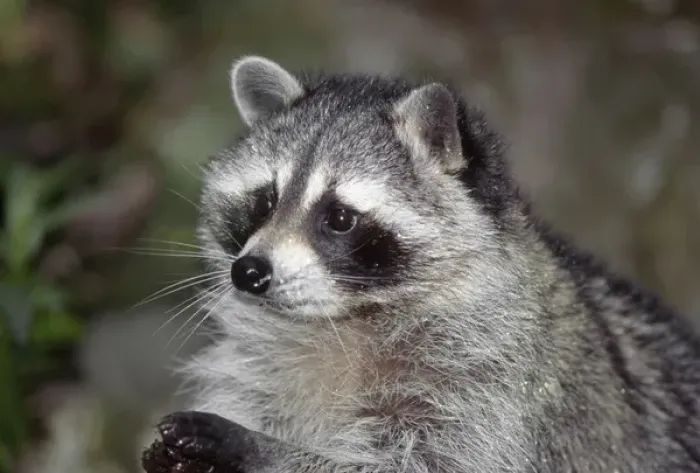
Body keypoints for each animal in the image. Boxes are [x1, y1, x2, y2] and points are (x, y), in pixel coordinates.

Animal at [141, 56, 700, 473]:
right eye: (265, 201)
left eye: (339, 217)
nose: (250, 272)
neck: (343, 319)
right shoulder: (258, 371)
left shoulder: (496, 383)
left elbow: (431, 462)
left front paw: (262, 450)